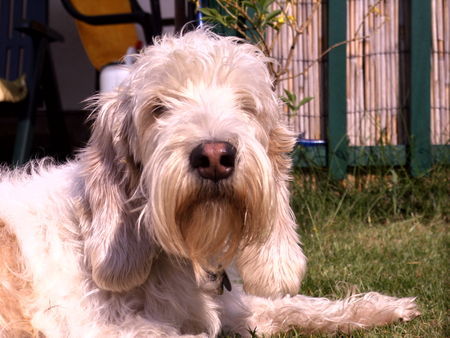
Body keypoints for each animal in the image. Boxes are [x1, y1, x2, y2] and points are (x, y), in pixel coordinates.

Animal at [1, 30, 420, 336]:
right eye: (158, 108)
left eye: (246, 106)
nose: (216, 158)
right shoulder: (96, 327)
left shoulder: (230, 305)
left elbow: (288, 304)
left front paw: (379, 308)